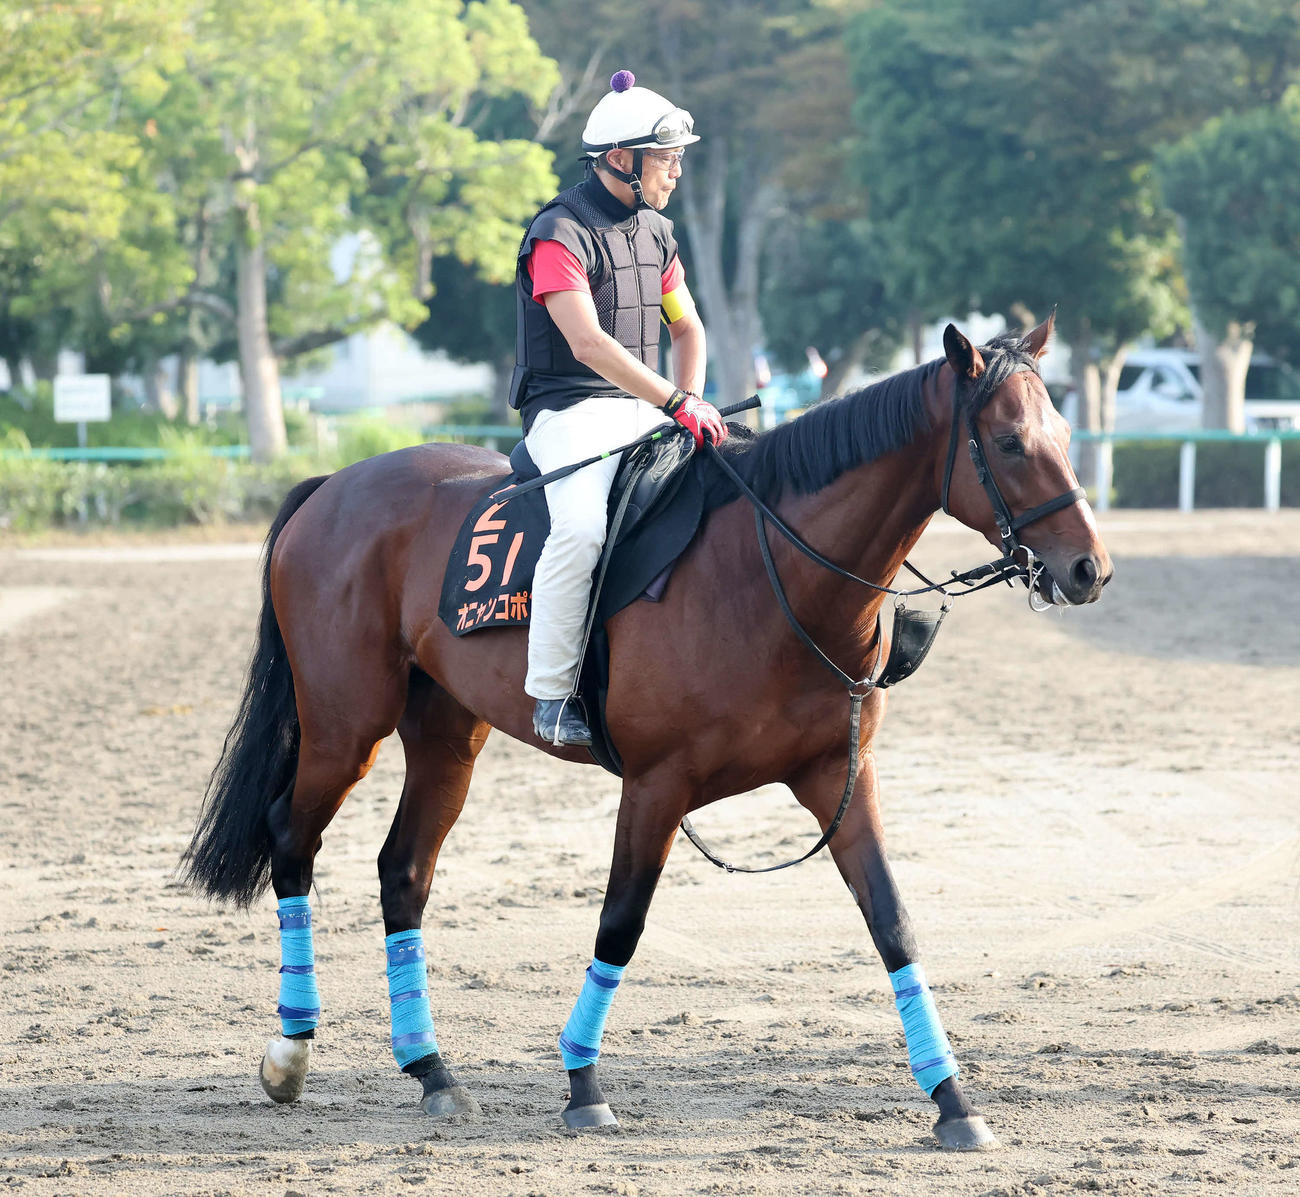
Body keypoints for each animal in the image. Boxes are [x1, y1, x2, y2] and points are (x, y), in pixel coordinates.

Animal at [184, 316, 1112, 1150]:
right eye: (1011, 442)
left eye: (1066, 433)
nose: (1088, 568)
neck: (773, 573)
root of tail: (333, 483)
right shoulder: (657, 784)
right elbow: (620, 924)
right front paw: (583, 1083)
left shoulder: (837, 777)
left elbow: (893, 923)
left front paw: (953, 1099)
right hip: (346, 727)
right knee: (291, 841)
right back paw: (291, 1051)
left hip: (447, 737)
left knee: (403, 870)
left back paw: (432, 1069)